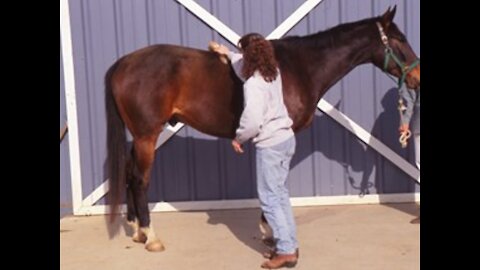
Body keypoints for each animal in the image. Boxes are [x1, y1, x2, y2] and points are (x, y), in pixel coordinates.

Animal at [105, 5, 420, 251]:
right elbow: (275, 182)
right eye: (400, 39)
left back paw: (137, 230)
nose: (417, 76)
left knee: (130, 174)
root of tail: (124, 62)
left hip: (140, 137)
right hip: (147, 136)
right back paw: (152, 237)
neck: (298, 67)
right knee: (140, 180)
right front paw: (271, 233)